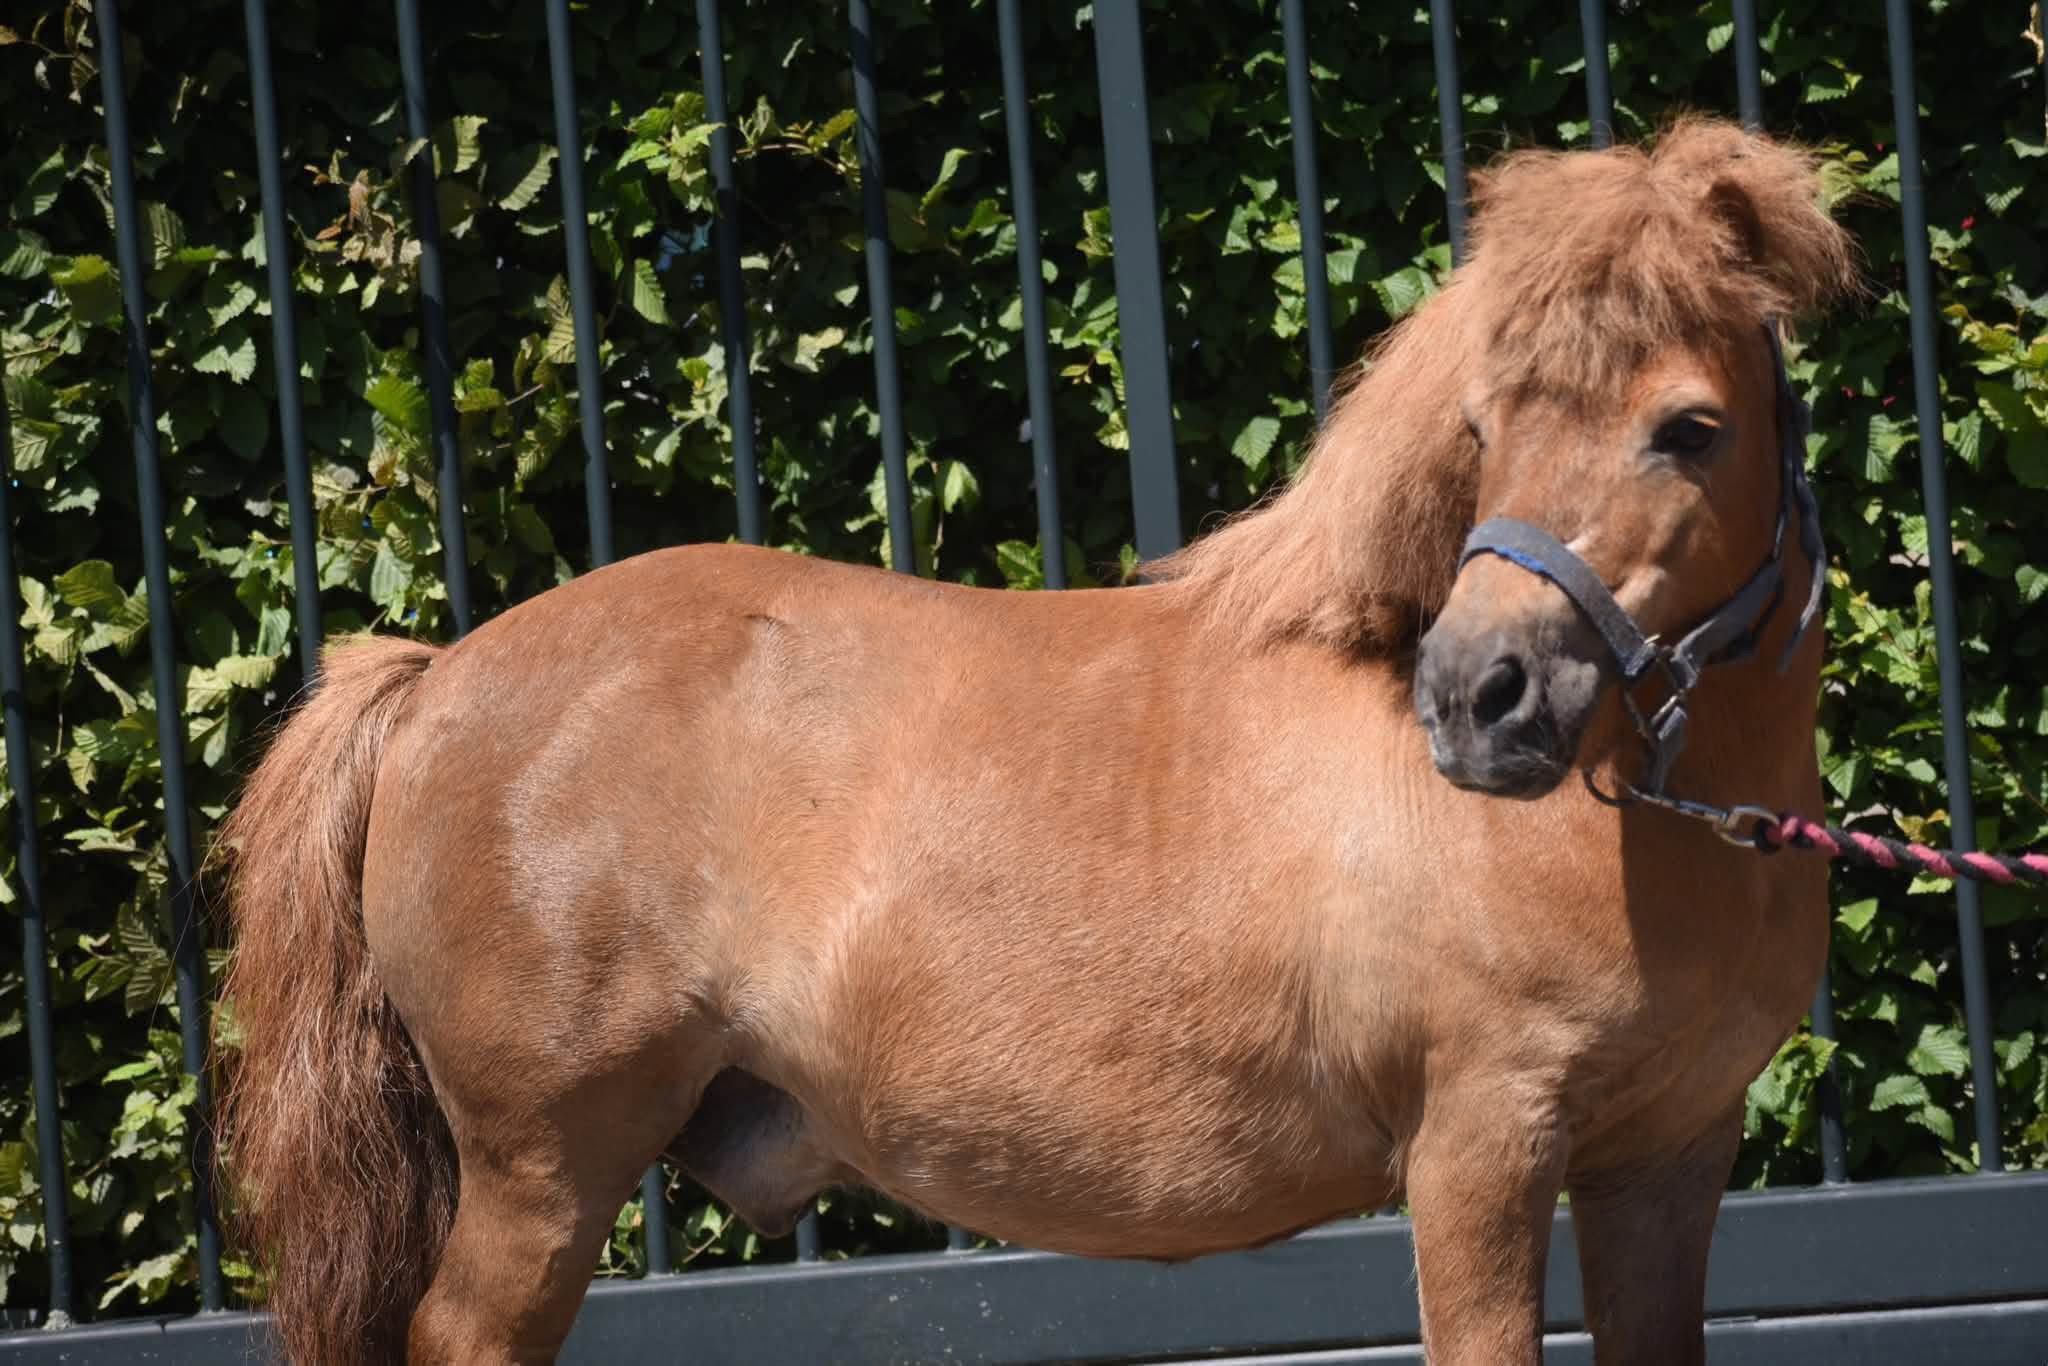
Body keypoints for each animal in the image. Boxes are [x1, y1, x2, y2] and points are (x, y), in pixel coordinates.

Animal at [214, 115, 1858, 1365]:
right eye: (1483, 422)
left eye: (1690, 428)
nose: (1476, 695)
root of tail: (437, 676)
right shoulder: (1478, 1147)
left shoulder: (1666, 1158)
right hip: (538, 1171)